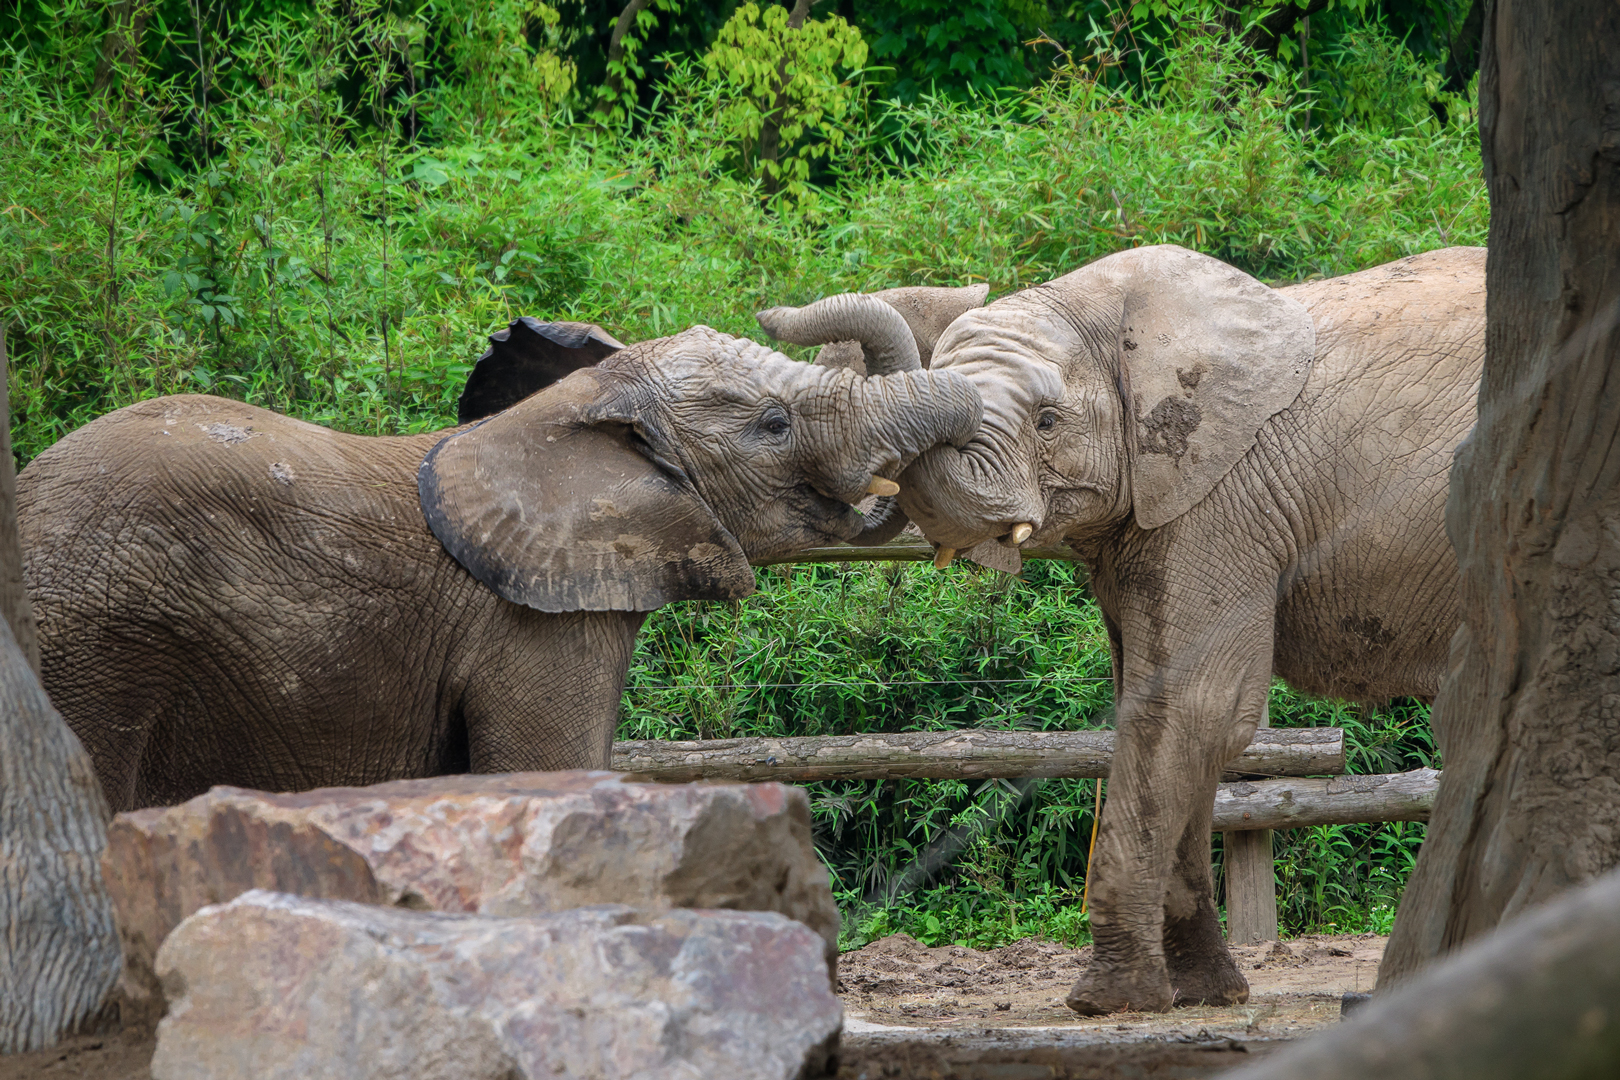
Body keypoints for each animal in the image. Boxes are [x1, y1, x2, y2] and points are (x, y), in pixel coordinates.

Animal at [757, 245, 1485, 1014]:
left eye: (1048, 422)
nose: (767, 316)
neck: (1106, 306)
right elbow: (1157, 711)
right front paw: (1206, 994)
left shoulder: (1217, 496)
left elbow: (1188, 708)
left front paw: (1108, 1001)